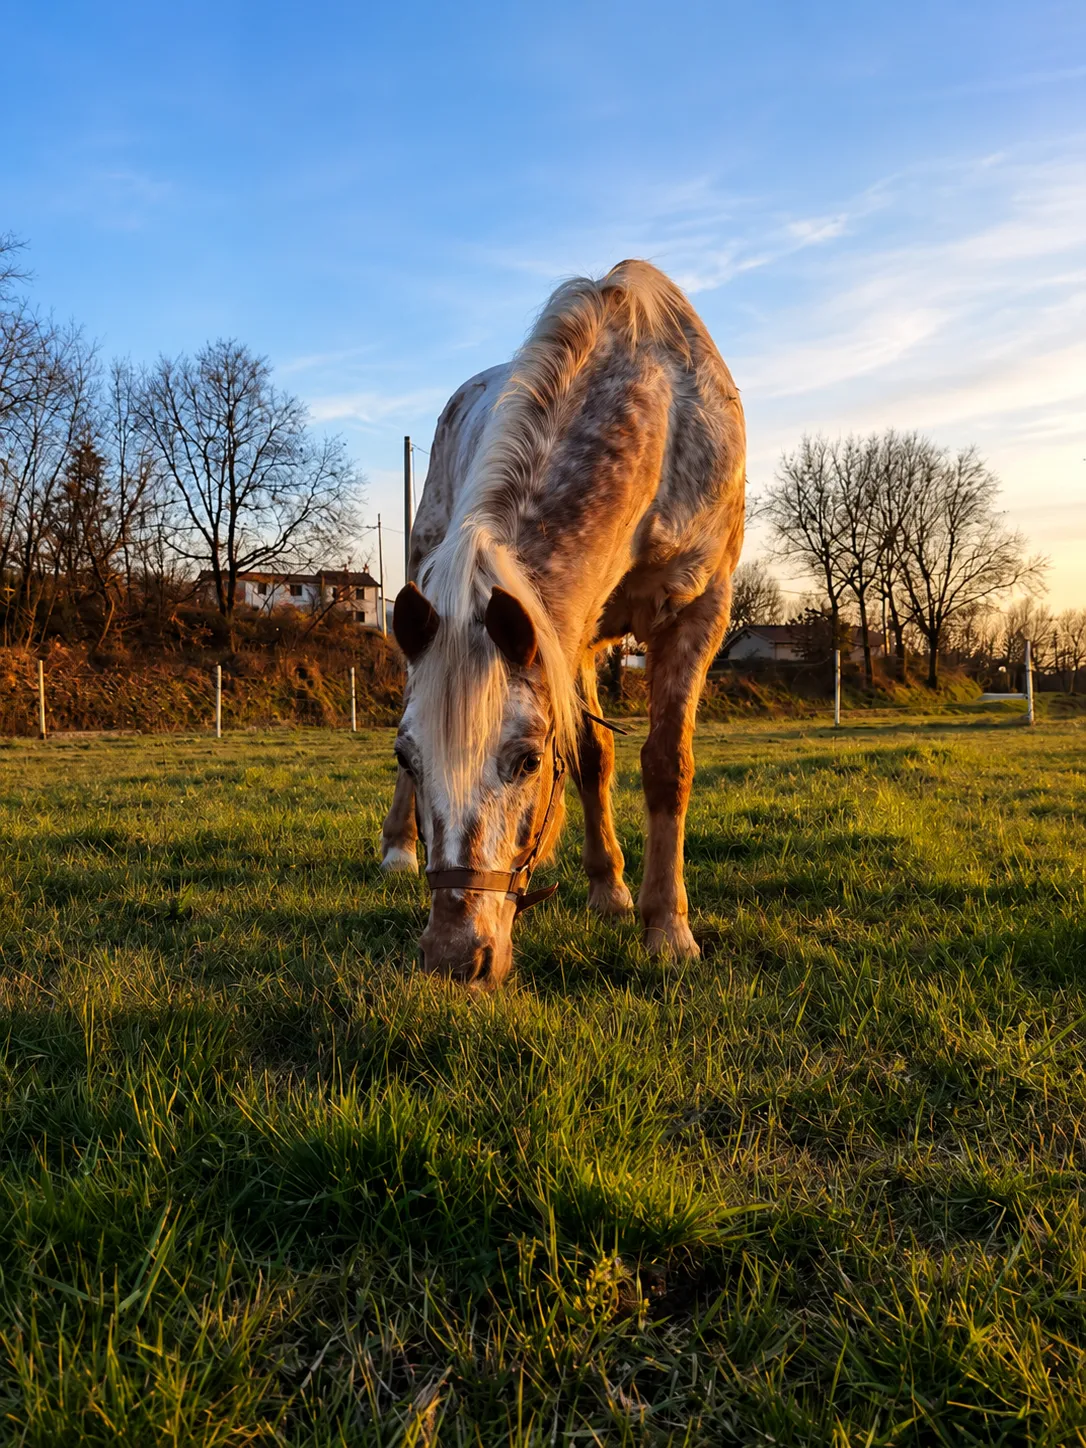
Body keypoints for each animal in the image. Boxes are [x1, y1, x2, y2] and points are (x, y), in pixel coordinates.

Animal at [381, 259, 745, 988]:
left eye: (526, 761)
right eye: (406, 754)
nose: (453, 957)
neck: (658, 418)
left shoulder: (696, 611)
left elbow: (663, 763)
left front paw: (664, 927)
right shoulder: (562, 632)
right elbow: (591, 756)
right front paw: (616, 889)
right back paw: (399, 848)